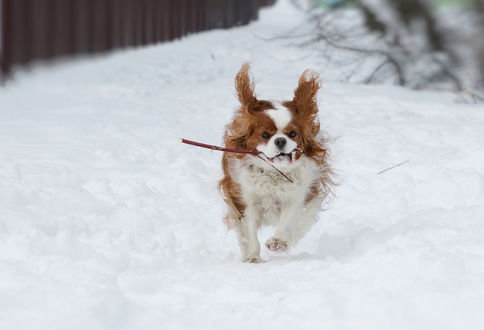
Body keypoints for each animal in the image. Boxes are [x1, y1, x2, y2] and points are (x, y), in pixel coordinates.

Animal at [219, 63, 332, 262]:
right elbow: (249, 230)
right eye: (265, 135)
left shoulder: (296, 197)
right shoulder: (247, 200)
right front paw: (252, 257)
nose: (280, 141)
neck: (273, 172)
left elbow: (288, 221)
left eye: (293, 134)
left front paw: (278, 242)